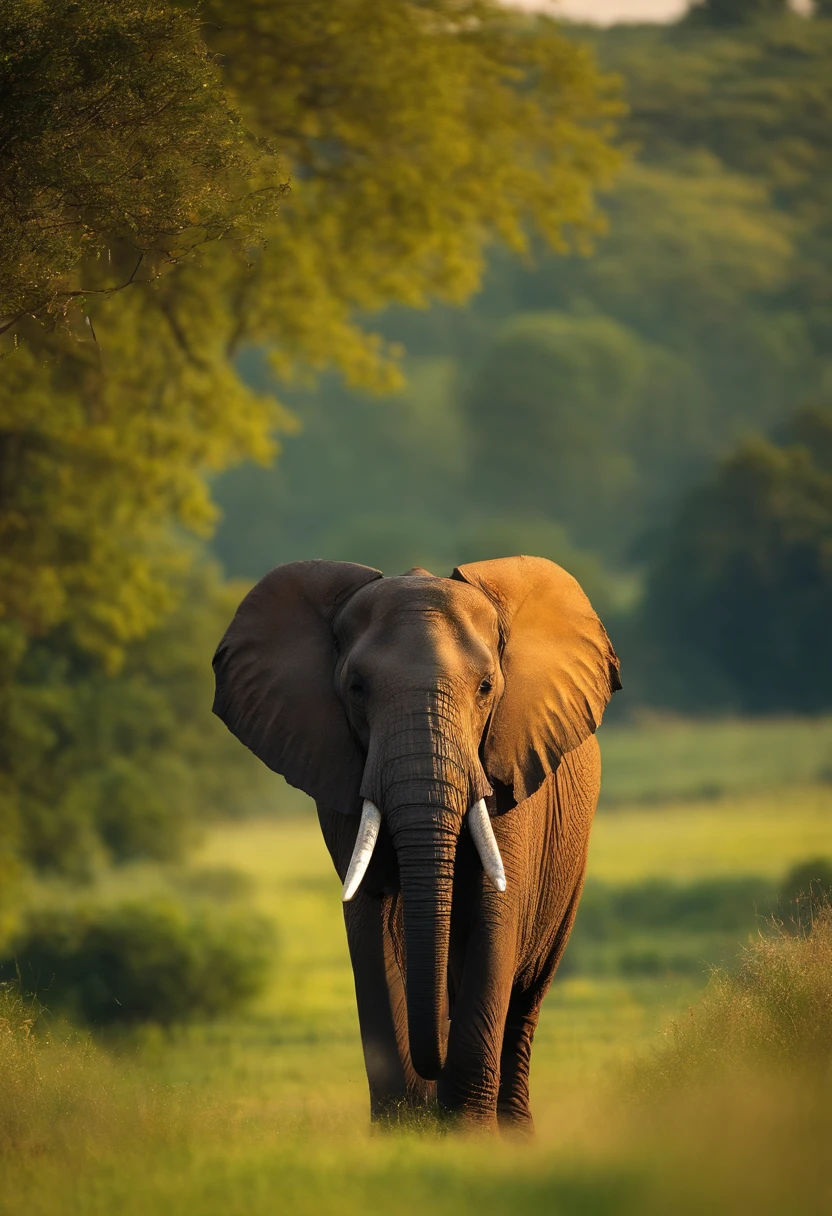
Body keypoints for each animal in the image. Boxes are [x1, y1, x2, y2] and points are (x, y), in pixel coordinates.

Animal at [212, 556, 617, 1133]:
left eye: (487, 687)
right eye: (356, 688)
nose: (437, 1064)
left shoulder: (507, 768)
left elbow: (496, 914)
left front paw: (467, 1134)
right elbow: (372, 918)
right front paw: (404, 1133)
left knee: (527, 993)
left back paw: (514, 1132)